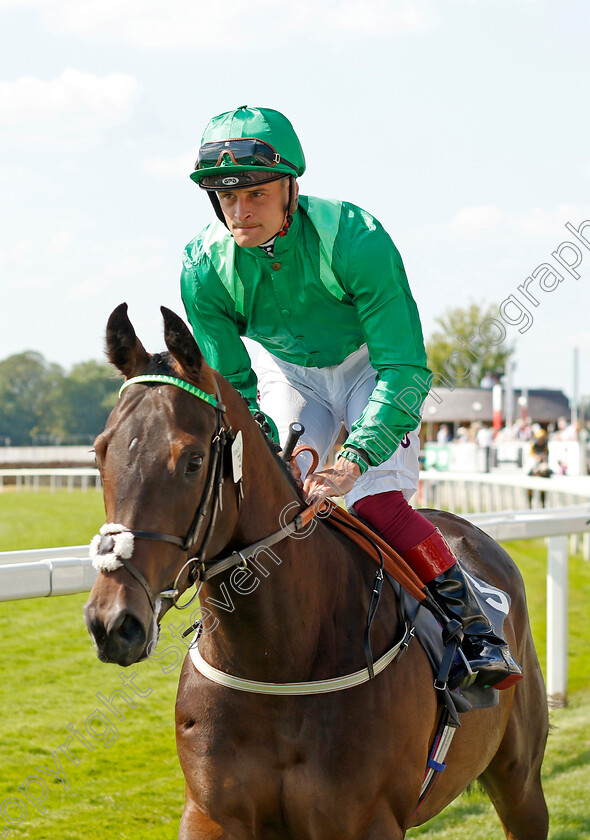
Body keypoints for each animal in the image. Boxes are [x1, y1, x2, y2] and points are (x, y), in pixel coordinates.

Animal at [83, 306, 552, 840]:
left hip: (520, 780)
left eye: (192, 460)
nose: (112, 622)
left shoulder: (368, 820)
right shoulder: (209, 813)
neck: (279, 659)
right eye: (100, 452)